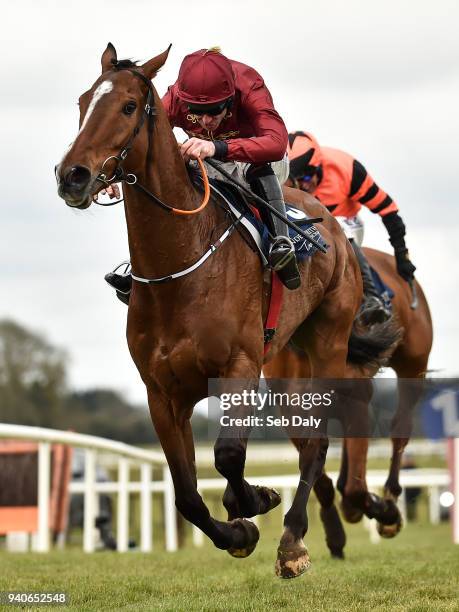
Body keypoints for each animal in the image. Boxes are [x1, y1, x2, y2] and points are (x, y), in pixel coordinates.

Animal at [54, 44, 398, 580]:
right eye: (83, 102)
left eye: (129, 107)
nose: (72, 176)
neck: (180, 268)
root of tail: (331, 223)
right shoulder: (161, 393)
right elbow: (187, 495)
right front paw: (238, 531)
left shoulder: (239, 366)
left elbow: (230, 455)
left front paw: (256, 502)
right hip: (288, 361)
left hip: (329, 338)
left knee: (318, 441)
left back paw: (294, 541)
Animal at [264, 245, 434, 556]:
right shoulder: (291, 406)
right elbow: (319, 468)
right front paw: (332, 534)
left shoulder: (357, 399)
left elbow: (355, 489)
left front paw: (383, 511)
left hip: (413, 366)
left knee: (399, 430)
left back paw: (389, 498)